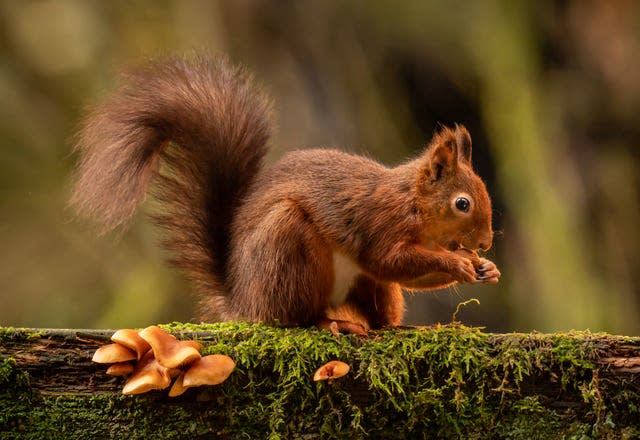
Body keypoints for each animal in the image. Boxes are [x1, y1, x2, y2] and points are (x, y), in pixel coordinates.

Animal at [70, 54, 500, 334]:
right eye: (462, 204)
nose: (485, 243)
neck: (414, 205)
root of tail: (243, 301)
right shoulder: (380, 220)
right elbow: (390, 259)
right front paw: (457, 262)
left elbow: (411, 275)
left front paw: (484, 269)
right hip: (287, 247)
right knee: (295, 317)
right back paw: (328, 322)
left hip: (365, 287)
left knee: (378, 313)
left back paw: (397, 326)